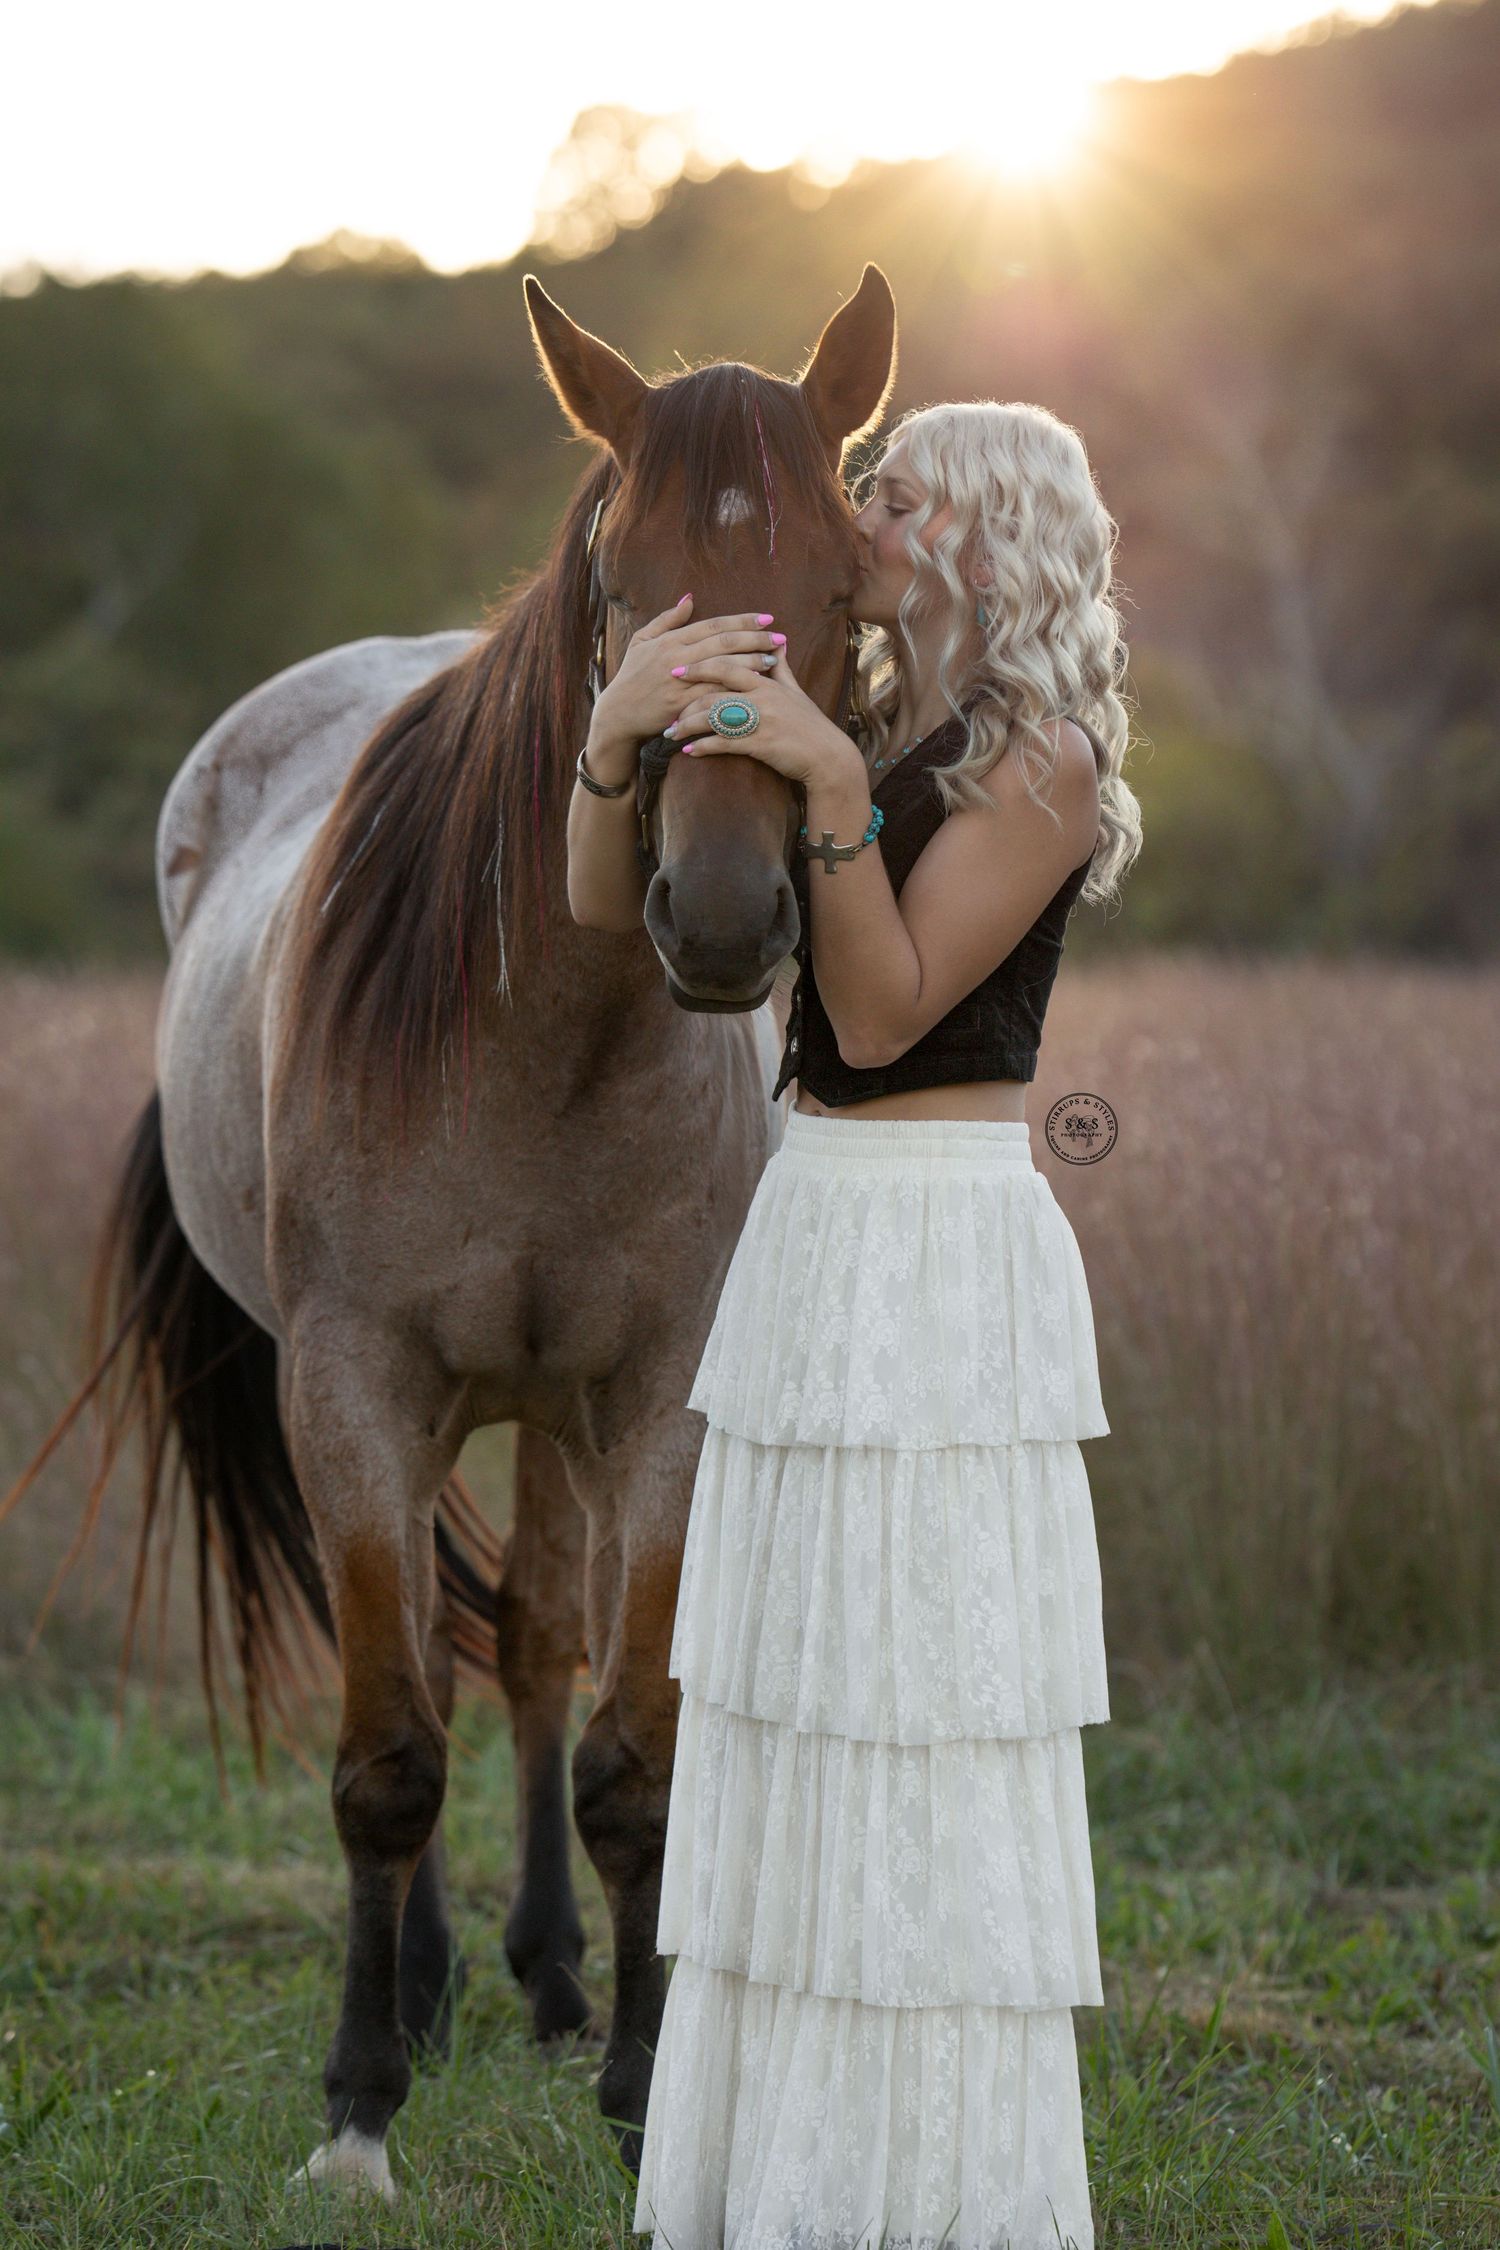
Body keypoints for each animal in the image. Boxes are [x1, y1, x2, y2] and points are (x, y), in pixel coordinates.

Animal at [3, 264, 897, 2199]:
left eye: (845, 598)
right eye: (621, 590)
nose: (724, 918)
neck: (543, 1036)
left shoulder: (651, 1402)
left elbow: (629, 1752)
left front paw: (637, 2090)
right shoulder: (353, 1389)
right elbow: (386, 1752)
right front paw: (355, 2109)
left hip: (550, 1415)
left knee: (540, 1647)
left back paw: (549, 1979)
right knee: (415, 1644)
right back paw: (414, 1989)